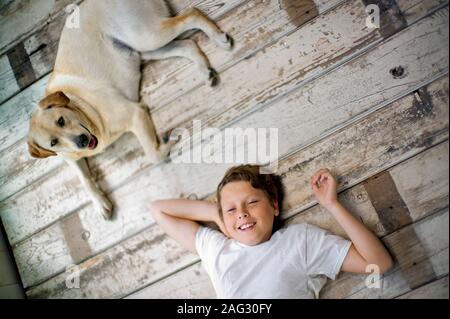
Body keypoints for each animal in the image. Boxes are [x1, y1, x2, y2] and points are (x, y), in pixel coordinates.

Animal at [26, 0, 234, 220]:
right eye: (53, 142)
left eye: (61, 120)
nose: (81, 141)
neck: (83, 107)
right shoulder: (70, 157)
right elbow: (84, 179)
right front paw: (100, 203)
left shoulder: (135, 114)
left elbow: (153, 156)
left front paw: (166, 145)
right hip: (146, 49)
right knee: (188, 44)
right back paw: (206, 70)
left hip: (147, 37)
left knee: (191, 14)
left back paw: (219, 37)